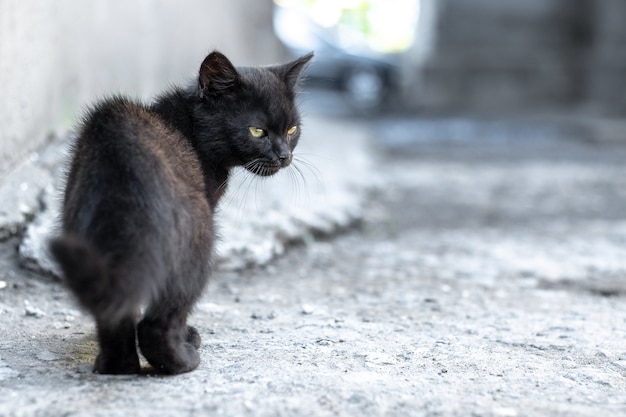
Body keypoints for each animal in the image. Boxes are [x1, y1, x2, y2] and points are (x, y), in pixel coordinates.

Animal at [48, 50, 312, 372]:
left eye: (292, 129)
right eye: (257, 131)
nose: (284, 156)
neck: (192, 129)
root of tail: (122, 169)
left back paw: (117, 366)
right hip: (196, 241)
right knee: (158, 322)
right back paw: (183, 360)